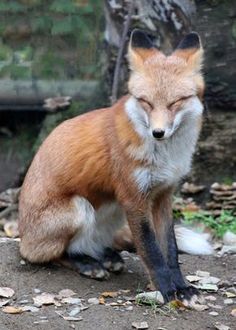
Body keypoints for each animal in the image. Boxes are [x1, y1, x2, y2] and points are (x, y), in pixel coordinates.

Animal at [18, 30, 206, 304]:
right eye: (146, 102)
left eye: (175, 102)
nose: (158, 133)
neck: (166, 156)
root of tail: (21, 233)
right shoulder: (133, 198)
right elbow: (152, 251)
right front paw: (167, 290)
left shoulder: (163, 195)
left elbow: (169, 250)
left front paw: (182, 287)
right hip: (79, 208)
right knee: (46, 254)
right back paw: (85, 263)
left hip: (113, 211)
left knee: (96, 244)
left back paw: (104, 255)